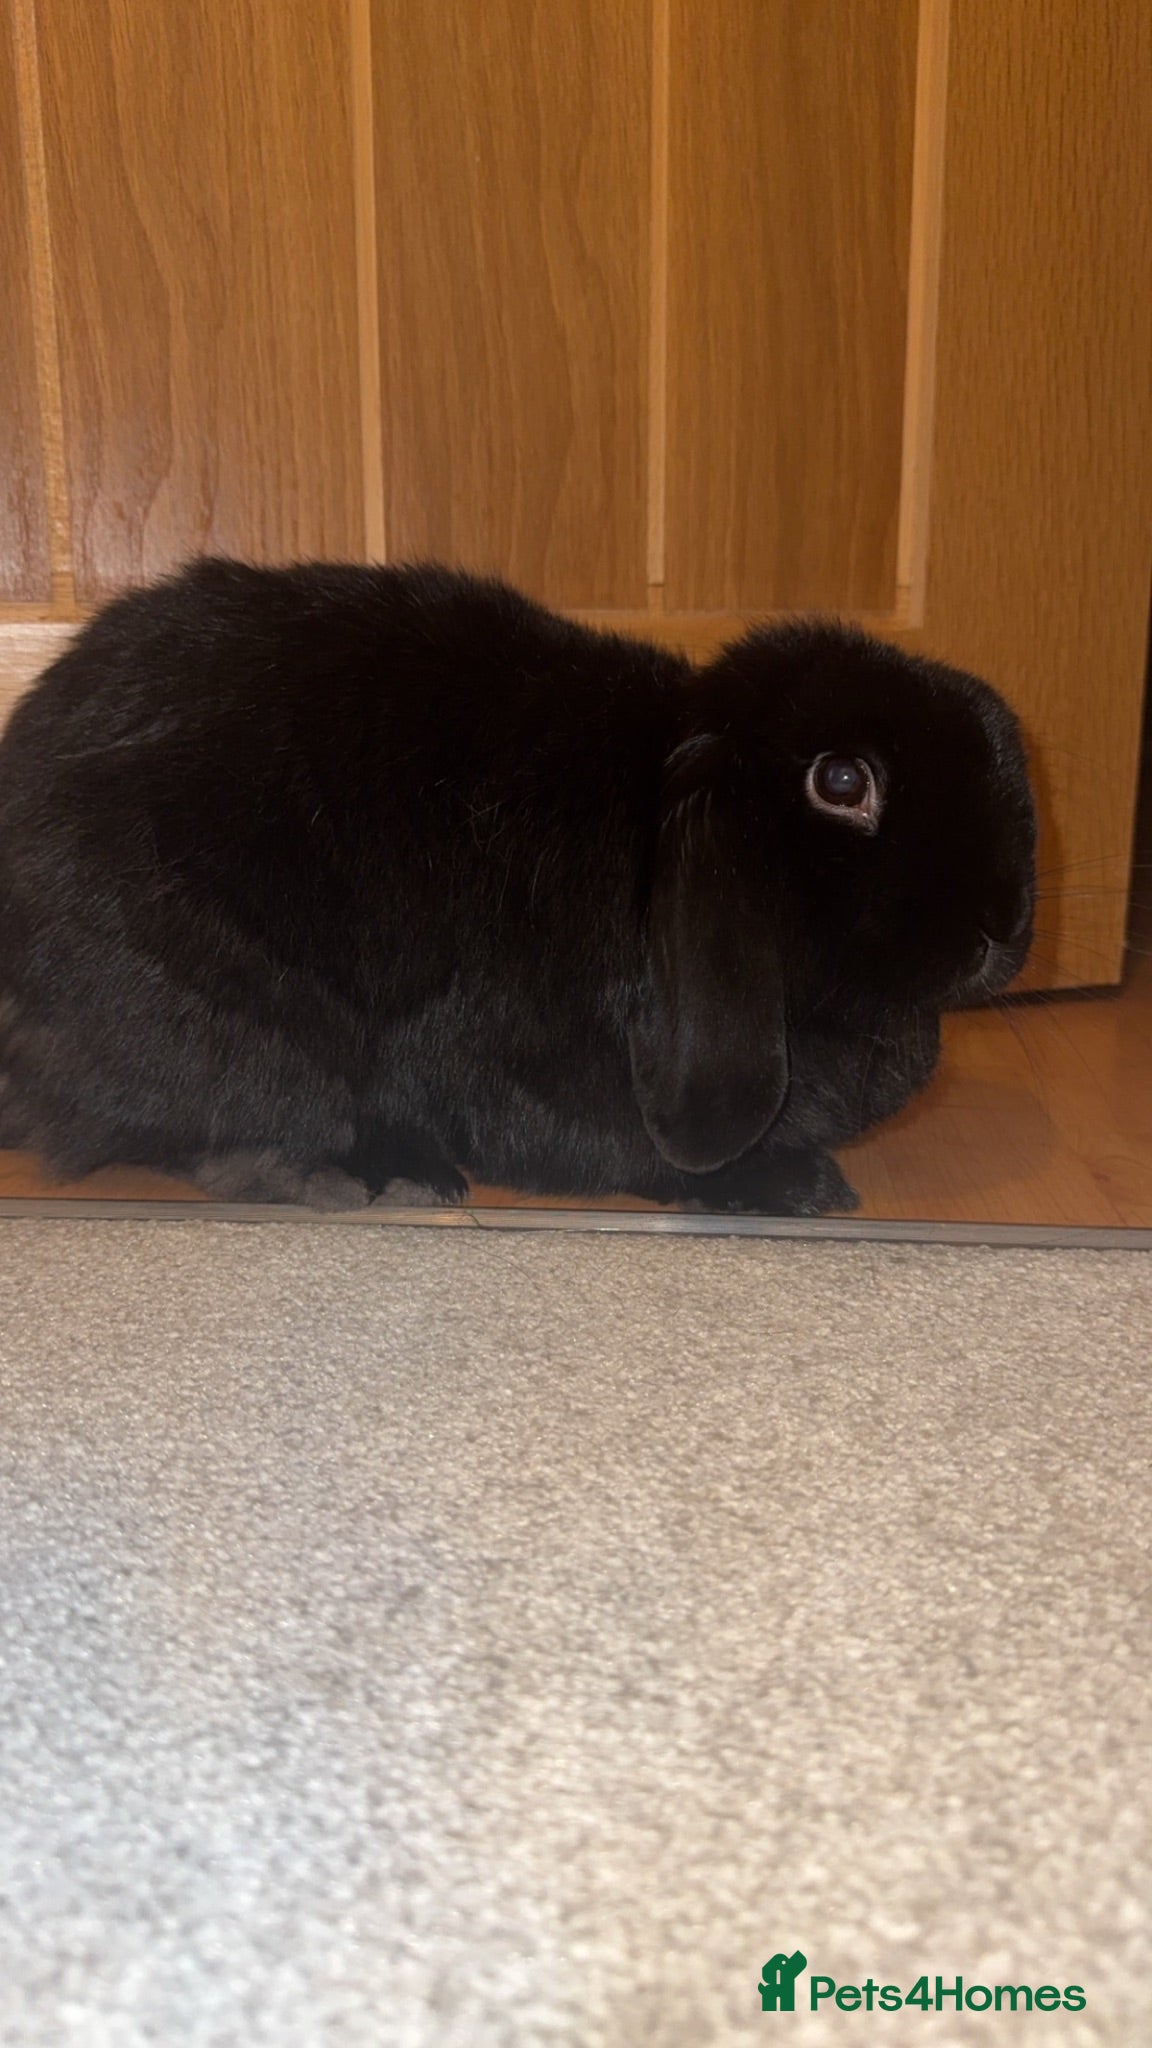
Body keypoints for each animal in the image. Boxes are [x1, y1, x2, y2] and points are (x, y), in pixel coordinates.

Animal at [0, 557, 1035, 1215]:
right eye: (843, 782)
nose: (1003, 929)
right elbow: (627, 1151)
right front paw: (800, 1186)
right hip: (225, 1010)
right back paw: (368, 1176)